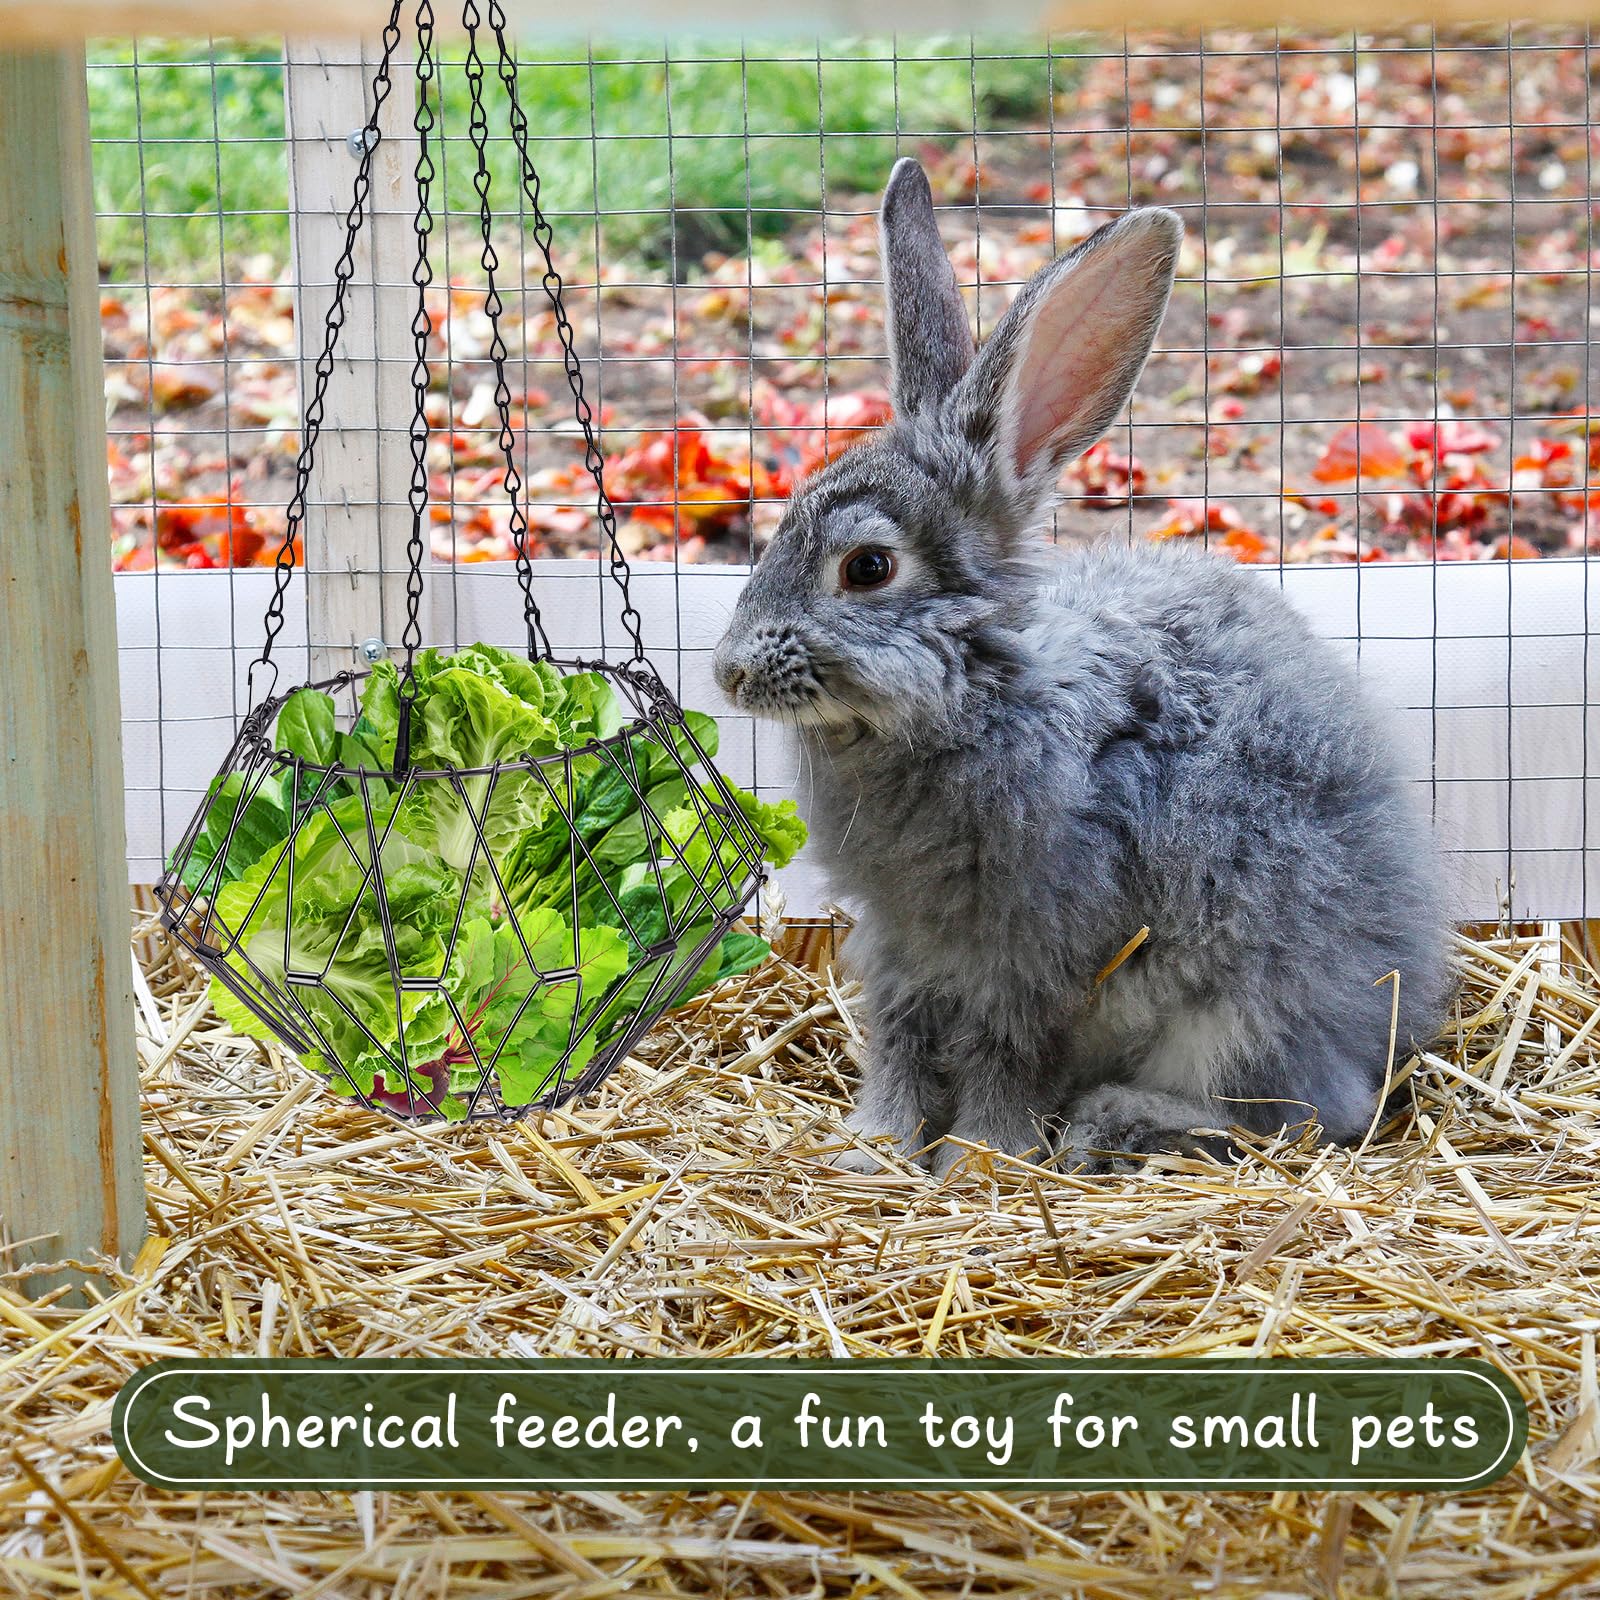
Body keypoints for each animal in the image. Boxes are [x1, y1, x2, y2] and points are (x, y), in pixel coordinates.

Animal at [713, 157, 1452, 1176]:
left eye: (867, 569)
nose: (728, 673)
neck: (978, 696)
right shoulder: (902, 949)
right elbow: (899, 1040)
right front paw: (874, 1149)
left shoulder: (1031, 954)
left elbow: (1003, 1054)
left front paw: (982, 1159)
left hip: (1241, 1009)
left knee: (1303, 1112)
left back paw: (1117, 1123)